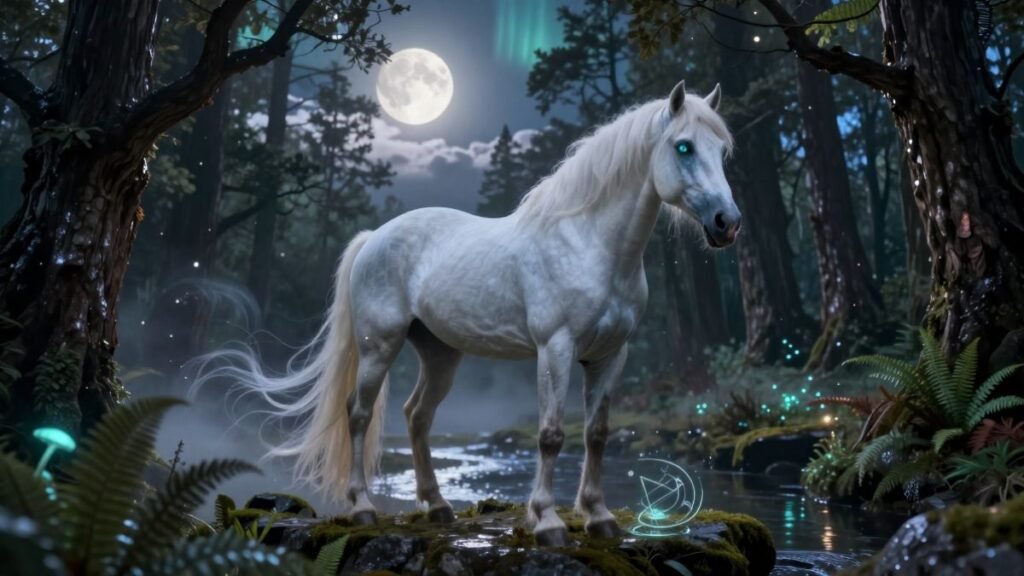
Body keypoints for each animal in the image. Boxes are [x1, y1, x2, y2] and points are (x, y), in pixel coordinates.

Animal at [212, 80, 739, 545]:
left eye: (723, 151)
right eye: (684, 147)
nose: (726, 223)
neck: (590, 244)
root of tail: (373, 238)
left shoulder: (611, 355)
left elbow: (596, 434)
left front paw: (599, 517)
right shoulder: (555, 348)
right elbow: (551, 435)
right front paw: (547, 522)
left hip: (440, 354)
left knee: (417, 415)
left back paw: (437, 506)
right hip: (378, 347)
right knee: (358, 414)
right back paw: (362, 507)